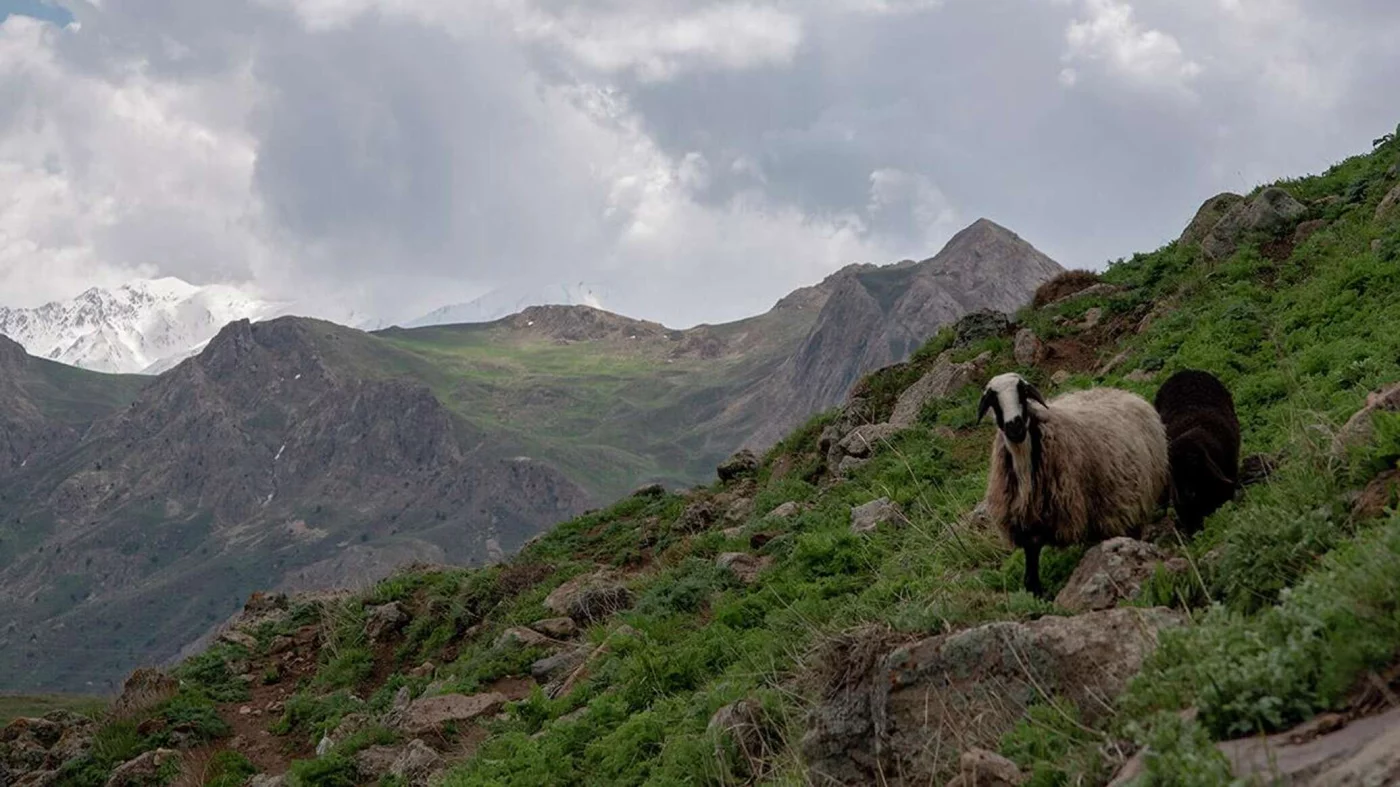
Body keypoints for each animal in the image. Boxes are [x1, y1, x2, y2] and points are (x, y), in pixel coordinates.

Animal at [974, 372, 1170, 593]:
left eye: (1022, 392)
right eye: (993, 399)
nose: (1014, 426)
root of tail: (1123, 392)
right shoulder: (1028, 522)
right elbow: (1031, 563)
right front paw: (1036, 592)